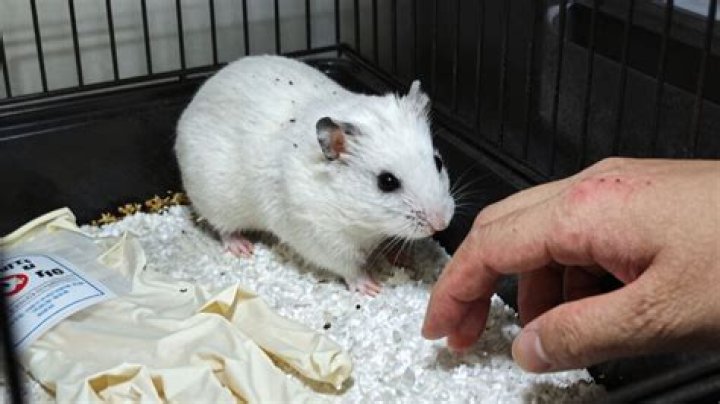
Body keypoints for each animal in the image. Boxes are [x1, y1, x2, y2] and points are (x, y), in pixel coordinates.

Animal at [174, 55, 455, 295]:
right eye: (386, 182)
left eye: (438, 162)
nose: (441, 224)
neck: (362, 221)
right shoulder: (325, 240)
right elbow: (350, 268)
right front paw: (371, 288)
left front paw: (405, 257)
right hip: (217, 202)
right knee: (223, 229)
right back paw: (243, 247)